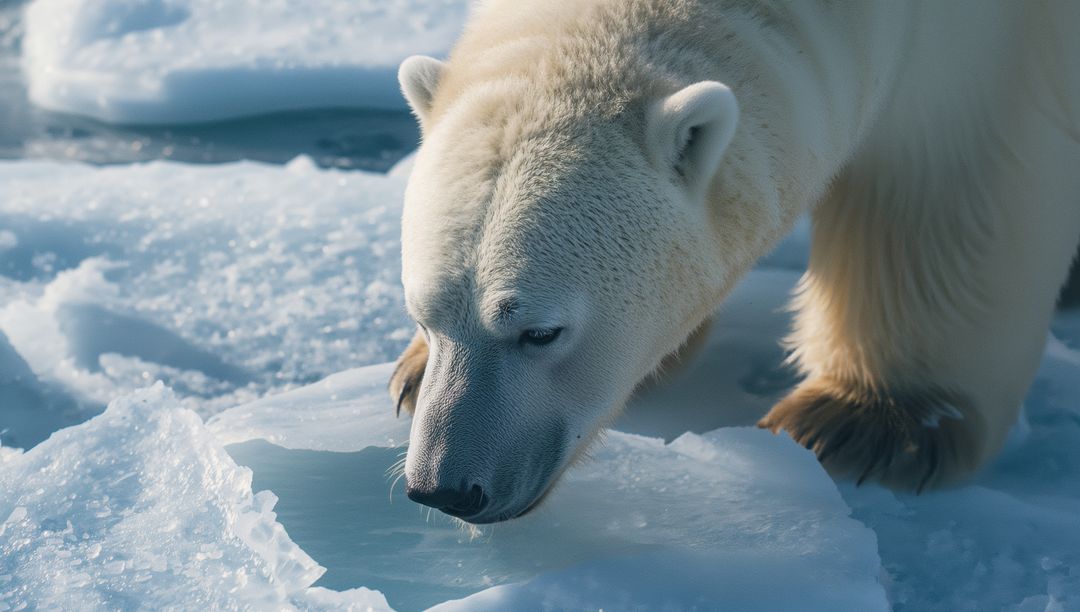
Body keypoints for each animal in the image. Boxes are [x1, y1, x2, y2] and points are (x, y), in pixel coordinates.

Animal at [389, 0, 1080, 523]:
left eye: (541, 332)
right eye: (424, 315)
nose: (444, 489)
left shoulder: (992, 45)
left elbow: (948, 185)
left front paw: (862, 423)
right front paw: (412, 374)